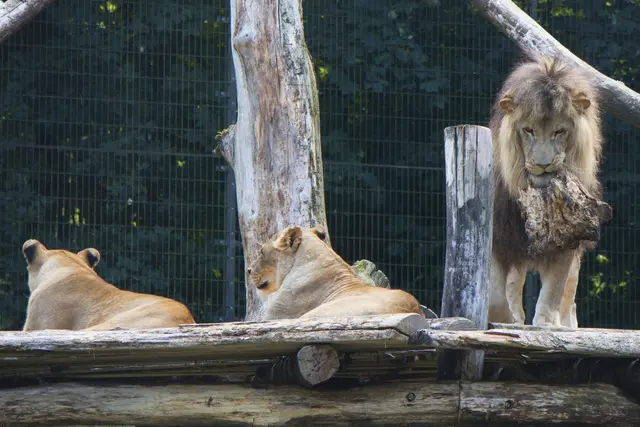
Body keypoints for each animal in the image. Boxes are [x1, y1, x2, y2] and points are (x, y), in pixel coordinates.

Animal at [489, 54, 604, 328]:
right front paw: (508, 320)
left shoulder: (569, 239)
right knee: (513, 286)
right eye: (528, 130)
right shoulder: (499, 236)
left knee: (569, 295)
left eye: (560, 131)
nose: (543, 164)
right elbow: (496, 297)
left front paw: (547, 323)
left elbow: (554, 289)